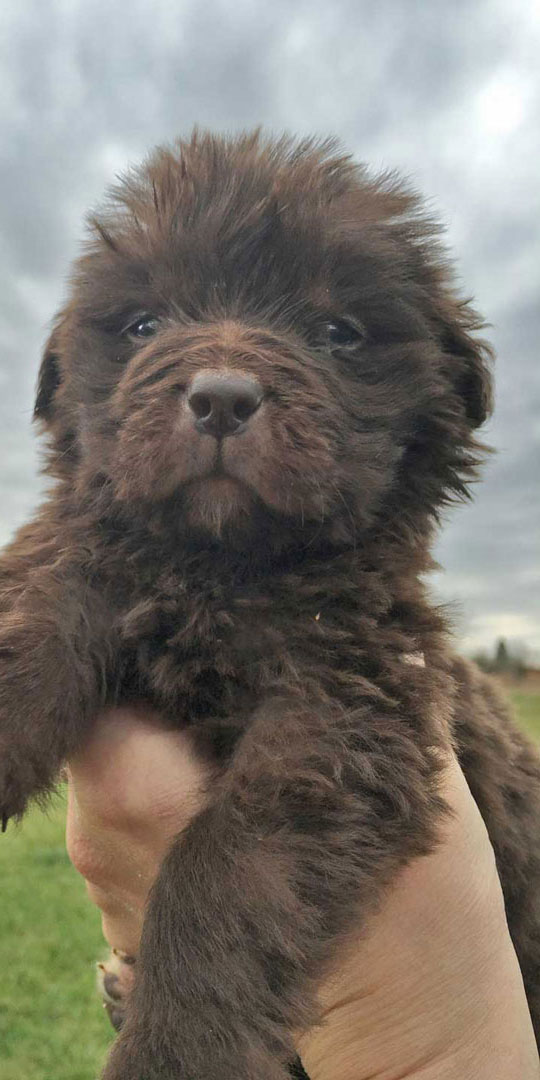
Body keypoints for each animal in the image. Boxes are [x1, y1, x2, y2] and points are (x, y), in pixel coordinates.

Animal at [1, 130, 540, 1075]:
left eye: (337, 333)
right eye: (145, 324)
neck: (217, 570)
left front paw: (171, 1052)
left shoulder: (345, 706)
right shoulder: (86, 561)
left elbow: (225, 866)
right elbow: (32, 627)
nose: (221, 396)